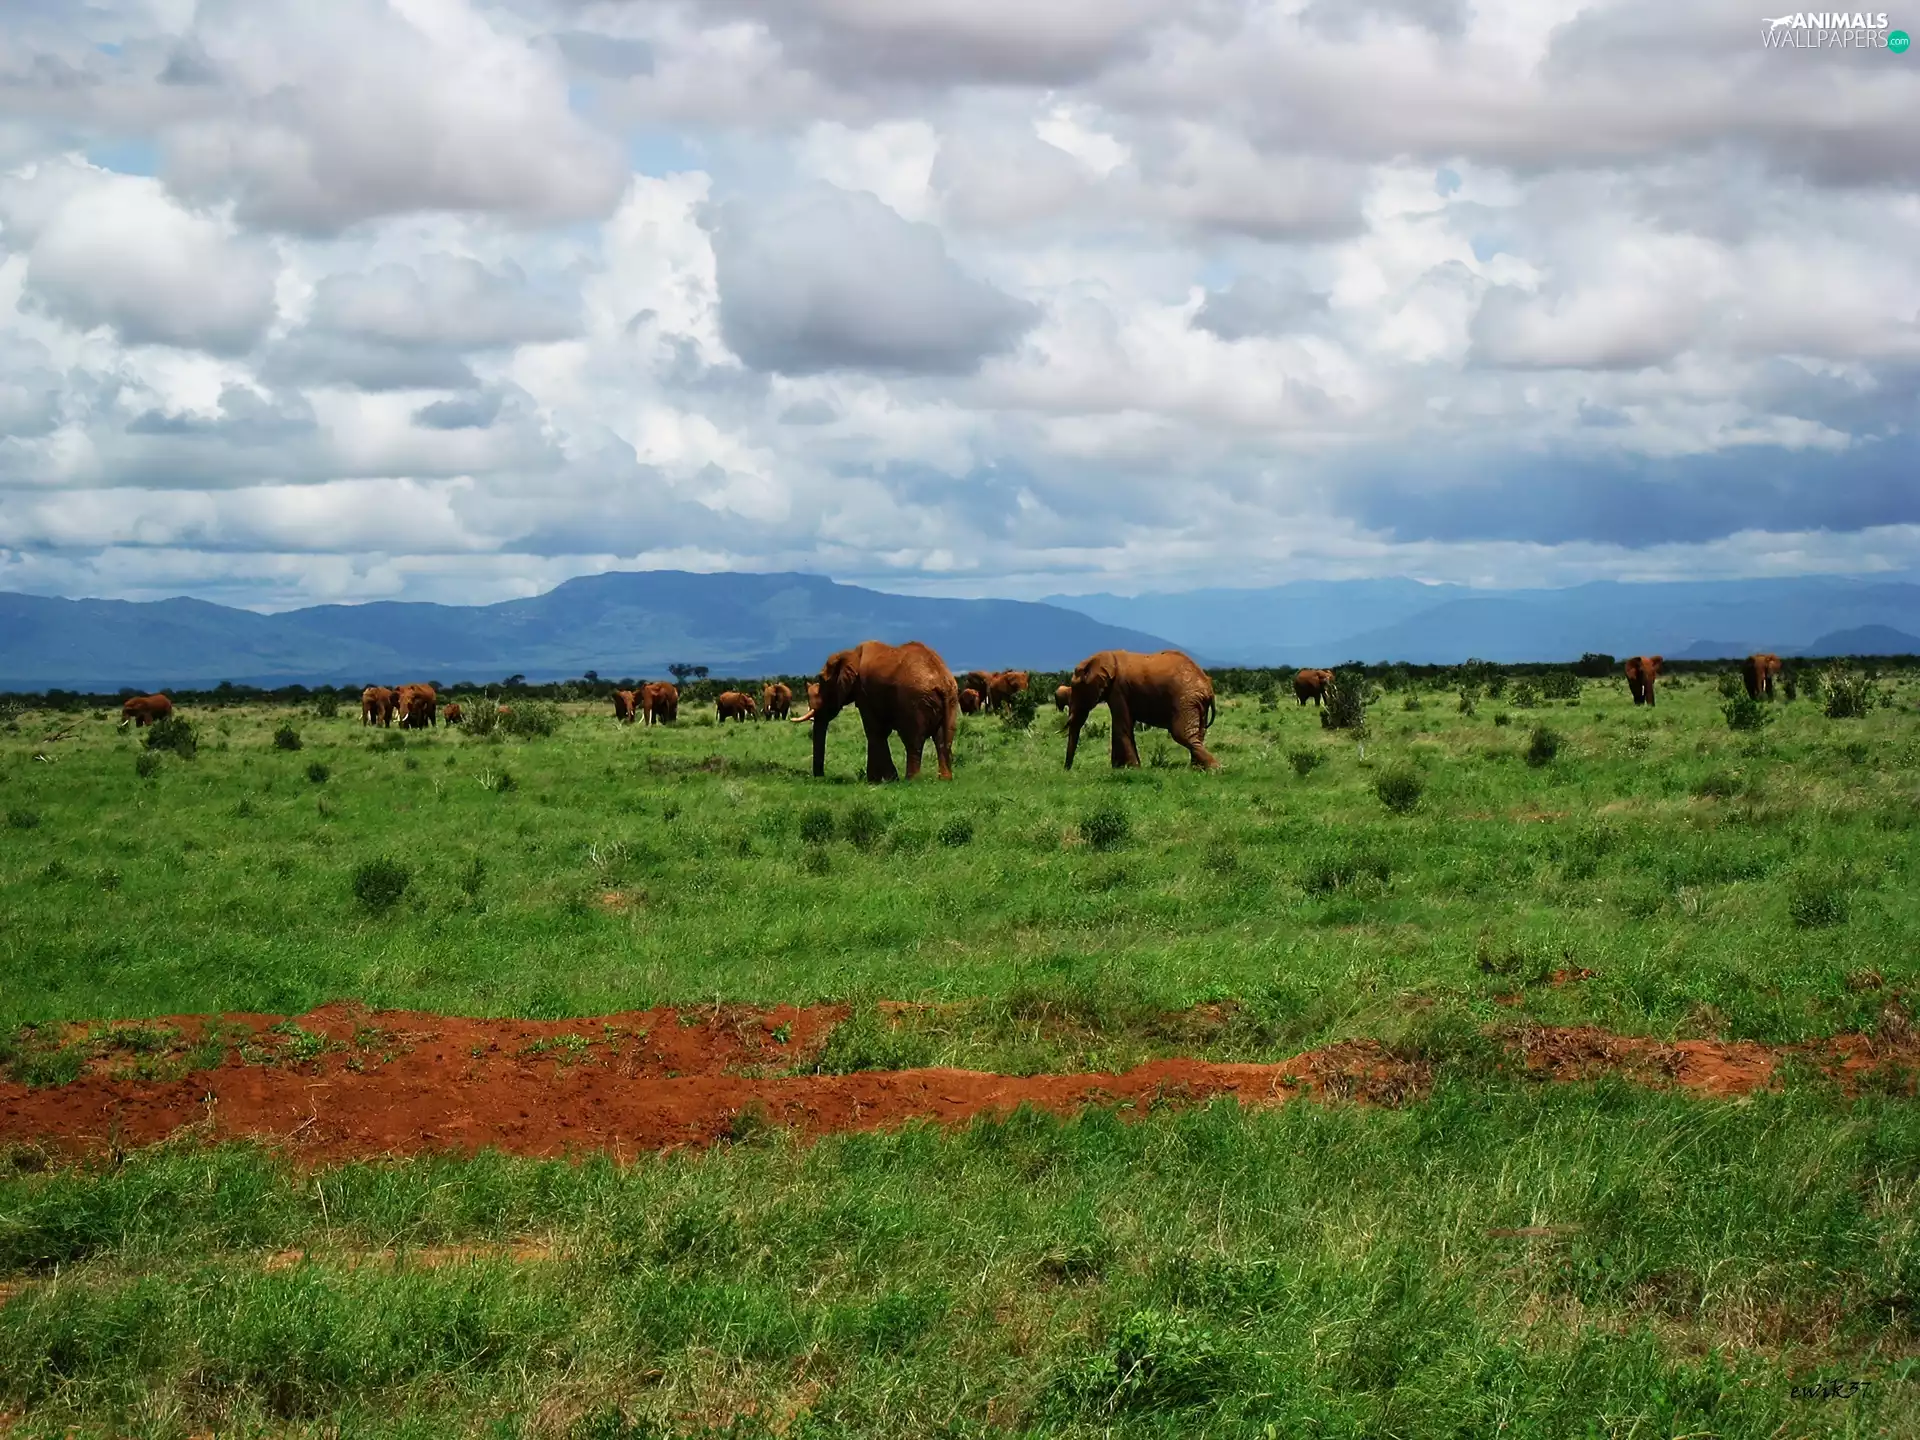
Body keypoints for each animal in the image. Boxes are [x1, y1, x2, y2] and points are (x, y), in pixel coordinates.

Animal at [792, 639, 958, 782]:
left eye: (821, 679)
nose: (820, 777)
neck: (850, 654)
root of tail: (941, 680)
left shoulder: (864, 692)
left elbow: (874, 730)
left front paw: (878, 780)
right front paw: (885, 779)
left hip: (915, 702)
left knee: (913, 740)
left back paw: (911, 780)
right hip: (951, 699)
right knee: (943, 739)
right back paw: (945, 779)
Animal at [1065, 650, 1218, 771]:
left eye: (1076, 688)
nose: (1067, 769)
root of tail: (1208, 687)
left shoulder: (1118, 689)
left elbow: (1121, 724)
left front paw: (1128, 768)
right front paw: (1124, 768)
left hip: (1185, 700)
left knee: (1181, 734)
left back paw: (1215, 769)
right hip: (1197, 703)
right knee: (1198, 734)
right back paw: (1198, 769)